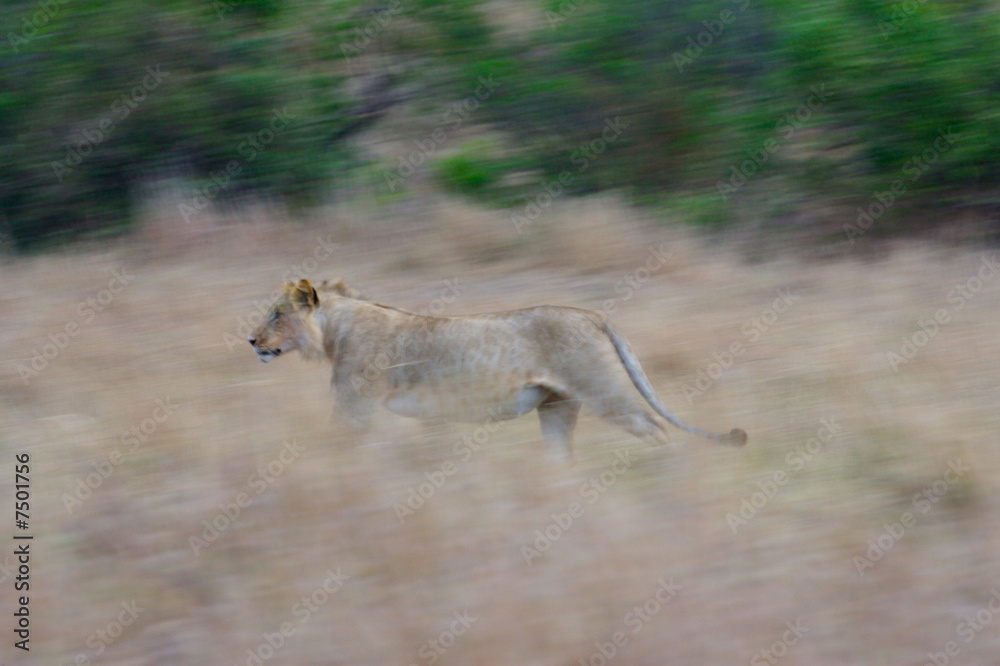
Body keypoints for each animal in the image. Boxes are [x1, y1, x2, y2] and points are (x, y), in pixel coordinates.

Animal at [248, 278, 747, 460]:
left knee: (656, 429)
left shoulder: (356, 405)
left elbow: (336, 442)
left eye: (275, 314)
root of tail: (592, 314)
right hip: (557, 405)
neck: (334, 332)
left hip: (604, 392)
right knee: (559, 455)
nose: (251, 341)